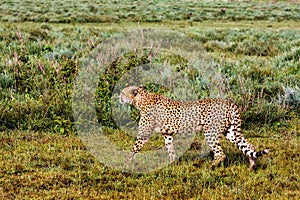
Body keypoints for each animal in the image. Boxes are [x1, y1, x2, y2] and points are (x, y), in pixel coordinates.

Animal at [118, 85, 268, 170]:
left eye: (123, 92)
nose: (118, 97)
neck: (141, 100)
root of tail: (229, 102)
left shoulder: (143, 134)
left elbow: (134, 149)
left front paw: (125, 163)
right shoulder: (167, 134)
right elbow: (170, 149)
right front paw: (171, 164)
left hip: (211, 132)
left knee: (220, 153)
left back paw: (211, 166)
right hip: (230, 131)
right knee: (249, 146)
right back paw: (252, 166)